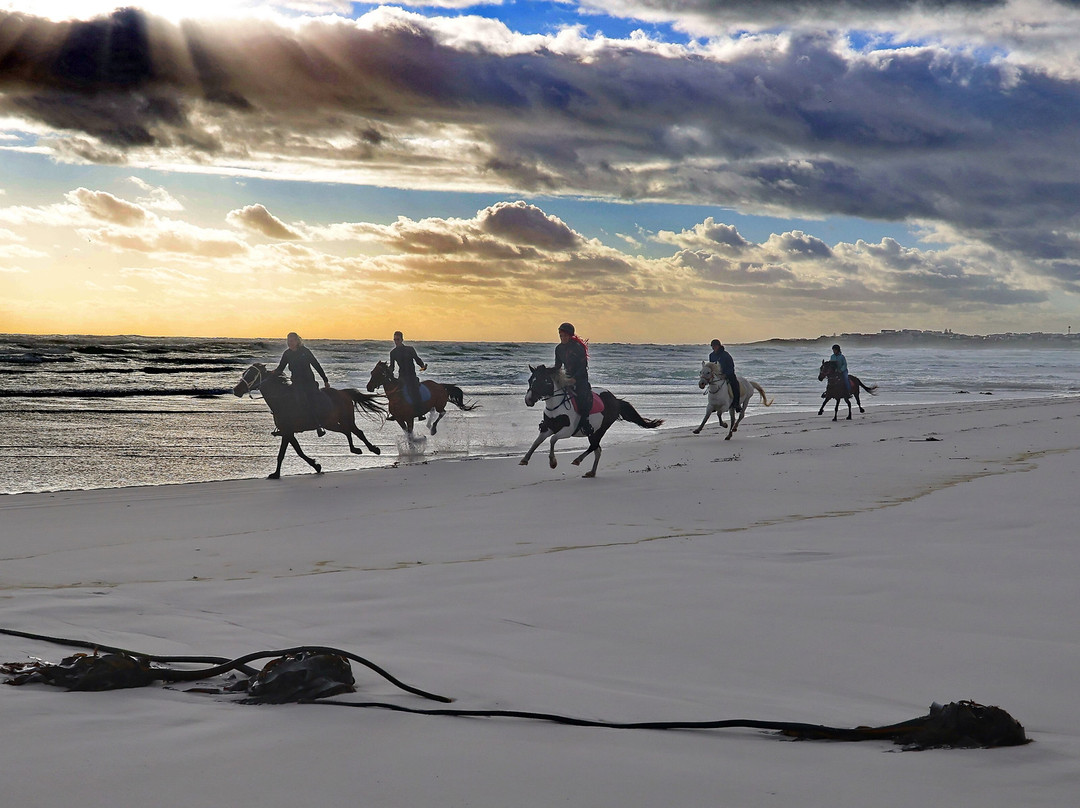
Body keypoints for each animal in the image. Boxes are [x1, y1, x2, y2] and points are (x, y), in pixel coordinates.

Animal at [233, 363, 385, 479]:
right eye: (245, 373)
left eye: (251, 375)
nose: (236, 390)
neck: (282, 400)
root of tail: (343, 392)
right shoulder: (288, 433)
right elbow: (297, 452)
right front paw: (315, 465)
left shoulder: (287, 432)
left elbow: (283, 454)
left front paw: (276, 474)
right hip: (331, 423)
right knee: (347, 431)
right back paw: (355, 449)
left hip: (346, 419)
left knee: (358, 431)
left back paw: (374, 449)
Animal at [519, 364, 664, 478]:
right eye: (530, 380)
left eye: (542, 381)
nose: (528, 400)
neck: (556, 405)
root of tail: (616, 400)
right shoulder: (548, 428)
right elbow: (537, 442)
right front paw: (524, 459)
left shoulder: (567, 431)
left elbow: (552, 440)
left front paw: (553, 462)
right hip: (593, 432)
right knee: (597, 449)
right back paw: (591, 472)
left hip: (601, 429)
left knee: (594, 446)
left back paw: (578, 460)